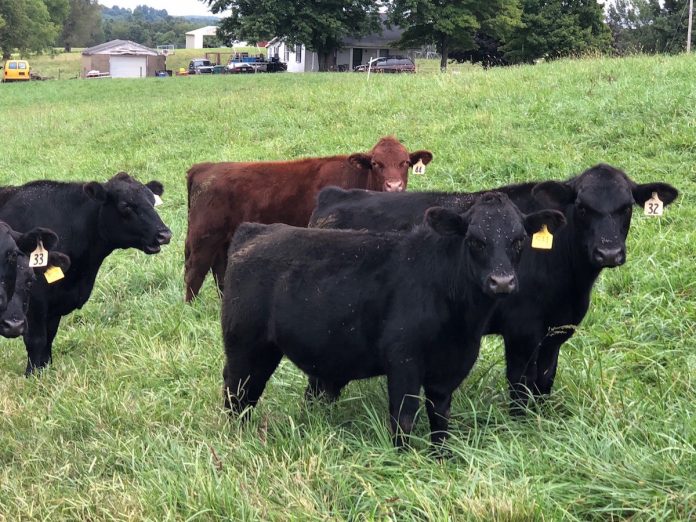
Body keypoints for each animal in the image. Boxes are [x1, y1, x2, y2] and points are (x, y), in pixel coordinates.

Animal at [0, 172, 172, 374]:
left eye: (152, 202)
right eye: (125, 205)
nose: (164, 234)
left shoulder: (54, 306)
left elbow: (48, 341)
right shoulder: (34, 303)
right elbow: (37, 342)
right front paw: (33, 376)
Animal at [184, 136, 433, 302]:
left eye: (405, 163)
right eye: (375, 164)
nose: (394, 186)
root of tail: (204, 167)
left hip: (222, 240)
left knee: (220, 270)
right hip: (203, 237)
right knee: (193, 273)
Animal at [221, 192, 565, 447]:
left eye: (519, 240)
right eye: (475, 240)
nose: (502, 282)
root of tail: (256, 230)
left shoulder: (450, 365)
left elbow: (440, 416)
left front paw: (441, 457)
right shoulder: (403, 359)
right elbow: (404, 416)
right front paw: (402, 459)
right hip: (245, 346)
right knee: (237, 393)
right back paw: (237, 439)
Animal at [308, 165, 679, 412]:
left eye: (626, 207)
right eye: (583, 207)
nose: (609, 252)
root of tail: (335, 196)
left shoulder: (556, 332)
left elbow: (544, 381)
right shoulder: (522, 331)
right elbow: (520, 384)